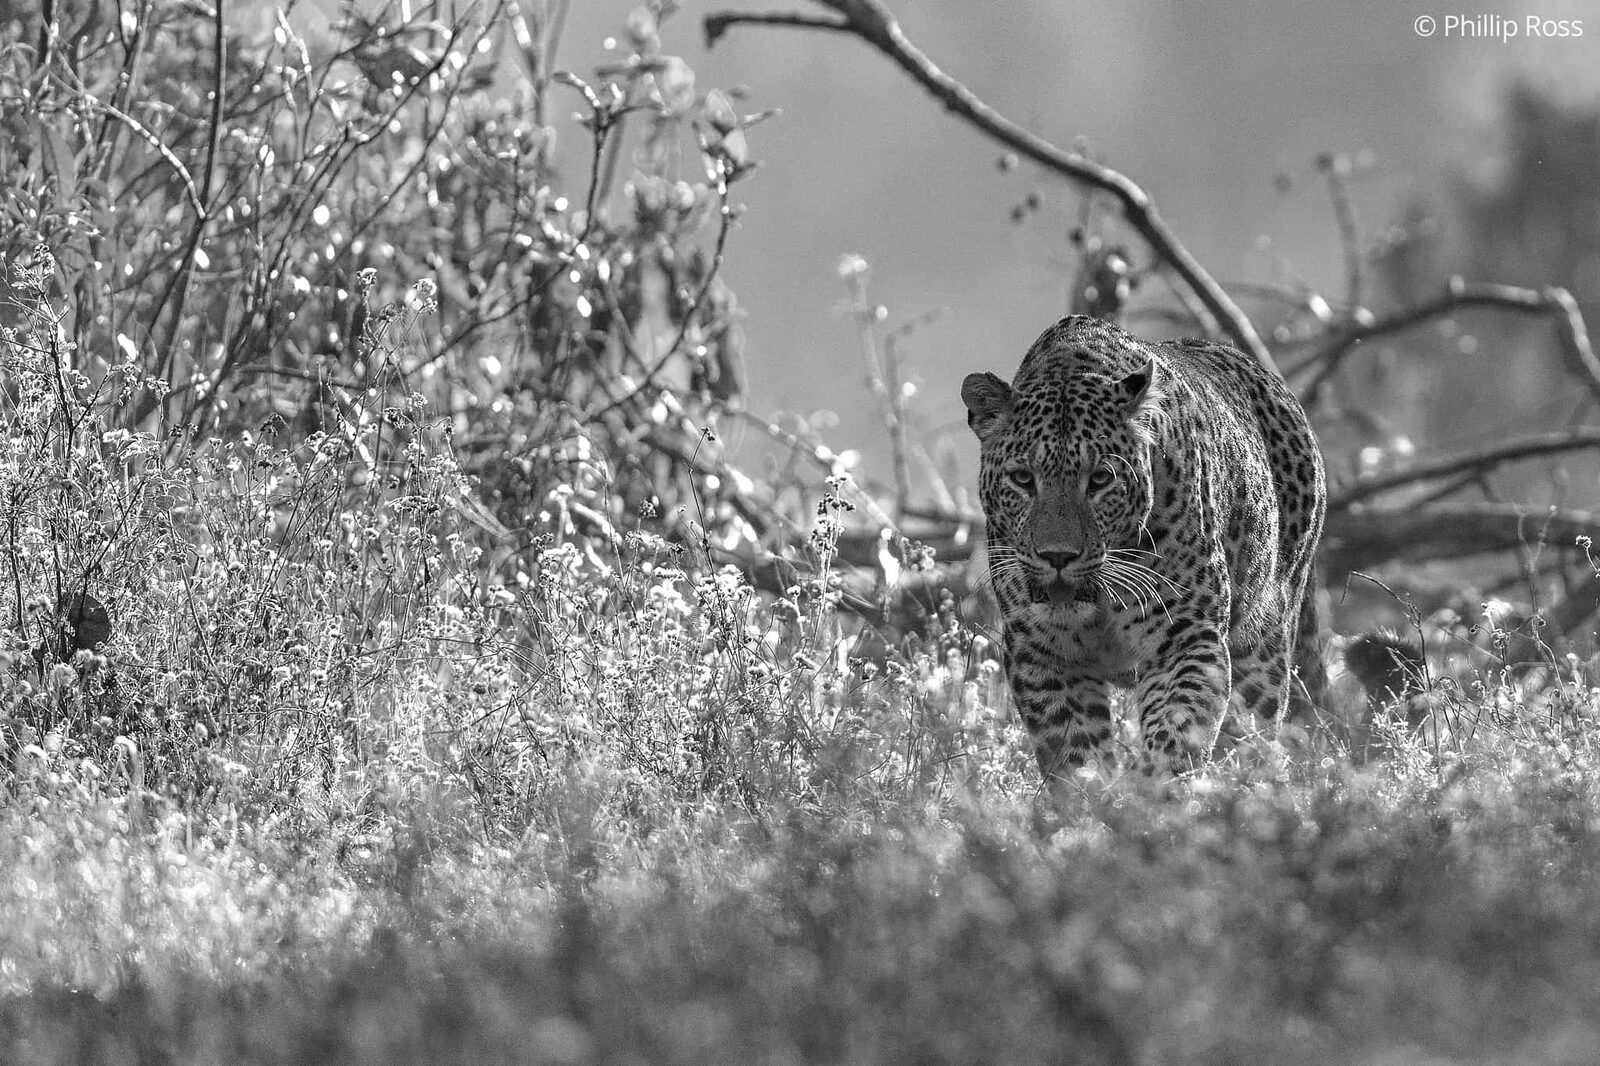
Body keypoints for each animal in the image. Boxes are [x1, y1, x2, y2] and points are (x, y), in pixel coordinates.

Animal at [962, 314, 1328, 779]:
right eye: (1023, 479)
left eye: (1101, 479)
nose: (1058, 556)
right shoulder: (1042, 656)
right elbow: (1075, 754)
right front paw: (1095, 793)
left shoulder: (1187, 637)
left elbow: (1179, 729)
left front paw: (1157, 789)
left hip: (1264, 646)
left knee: (1251, 735)